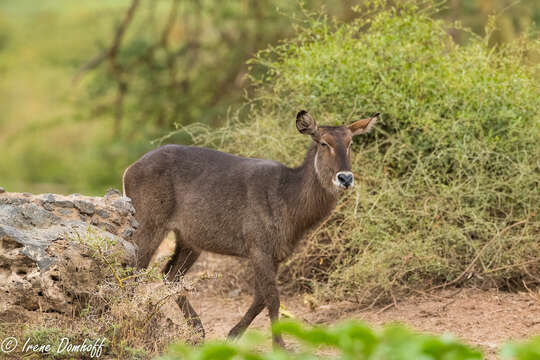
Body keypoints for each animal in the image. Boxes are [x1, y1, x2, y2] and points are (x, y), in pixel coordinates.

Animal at [121, 110, 380, 346]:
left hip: (189, 241)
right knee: (132, 273)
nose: (345, 178)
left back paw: (198, 330)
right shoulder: (258, 248)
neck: (287, 194)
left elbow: (261, 298)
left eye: (350, 142)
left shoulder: (276, 255)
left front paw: (233, 335)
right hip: (149, 227)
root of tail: (129, 169)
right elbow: (273, 298)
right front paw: (280, 346)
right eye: (324, 142)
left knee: (170, 276)